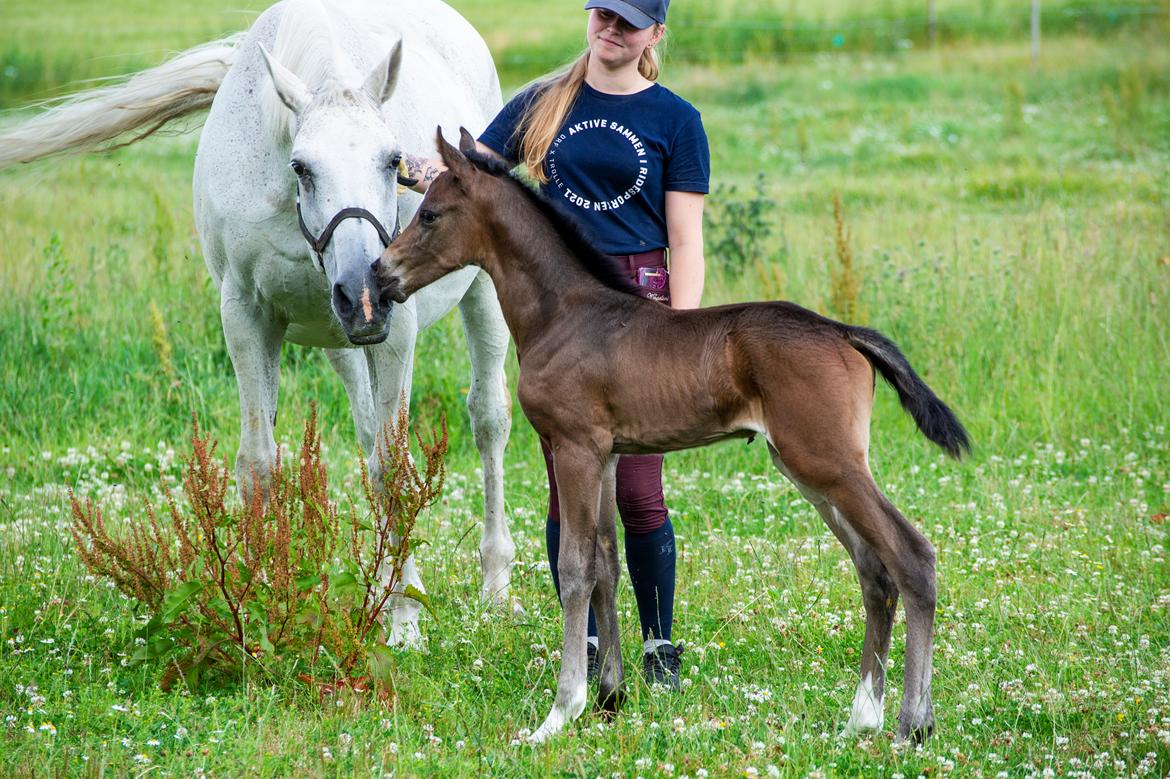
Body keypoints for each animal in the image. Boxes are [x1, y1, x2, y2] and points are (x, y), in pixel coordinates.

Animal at [0, 0, 517, 640]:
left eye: (394, 159)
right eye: (302, 166)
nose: (364, 292)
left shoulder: (395, 329)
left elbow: (398, 468)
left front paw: (404, 626)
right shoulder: (247, 316)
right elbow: (261, 464)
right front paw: (257, 606)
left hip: (480, 297)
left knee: (487, 419)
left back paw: (495, 589)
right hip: (340, 341)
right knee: (369, 436)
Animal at [381, 130, 968, 743]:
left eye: (430, 215)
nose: (380, 274)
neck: (564, 314)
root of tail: (844, 332)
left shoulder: (574, 448)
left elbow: (574, 569)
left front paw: (561, 711)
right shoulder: (607, 455)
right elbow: (606, 564)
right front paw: (610, 696)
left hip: (828, 462)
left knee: (912, 557)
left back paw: (911, 724)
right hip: (809, 469)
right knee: (873, 570)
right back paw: (862, 716)